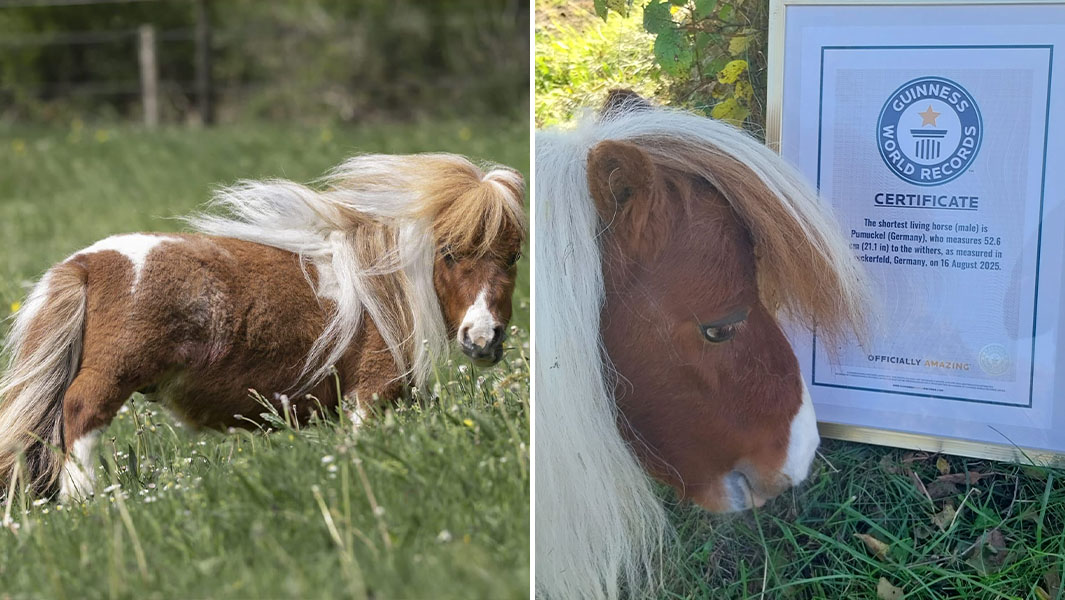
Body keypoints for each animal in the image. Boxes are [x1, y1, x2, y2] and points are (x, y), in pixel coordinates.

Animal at [0, 153, 526, 501]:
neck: (384, 288)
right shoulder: (370, 394)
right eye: (450, 253)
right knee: (79, 419)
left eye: (514, 256)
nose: (483, 338)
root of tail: (86, 263)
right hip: (109, 379)